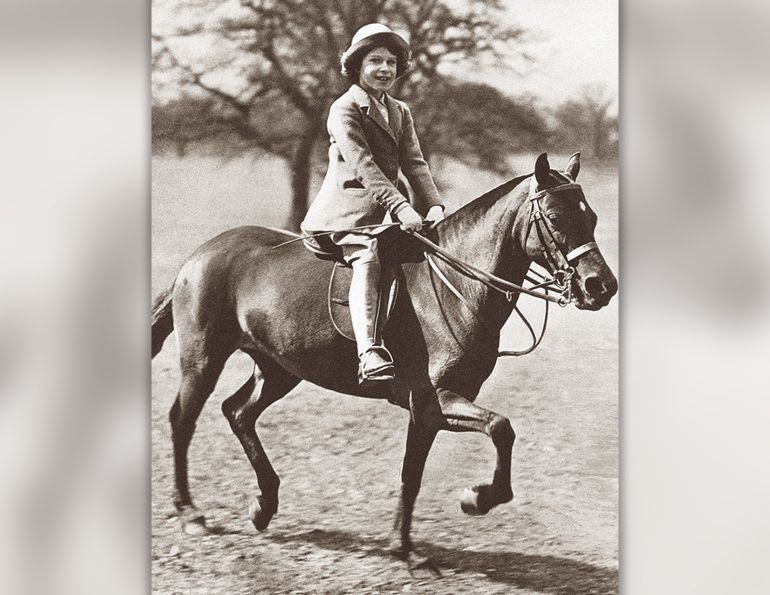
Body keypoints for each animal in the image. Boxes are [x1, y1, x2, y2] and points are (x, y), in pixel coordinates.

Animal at [151, 152, 617, 571]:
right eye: (555, 217)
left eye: (591, 217)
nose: (602, 287)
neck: (455, 286)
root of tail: (198, 256)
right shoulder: (434, 401)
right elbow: (496, 430)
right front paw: (468, 504)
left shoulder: (433, 409)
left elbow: (417, 472)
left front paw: (409, 543)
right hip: (203, 360)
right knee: (182, 421)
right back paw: (191, 513)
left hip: (279, 369)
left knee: (238, 412)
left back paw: (264, 506)